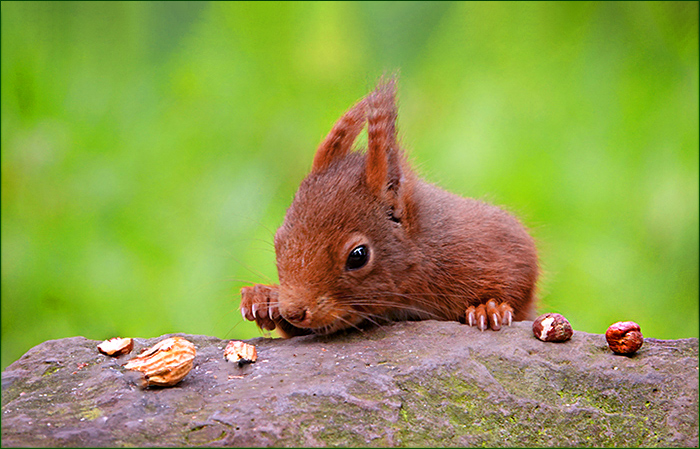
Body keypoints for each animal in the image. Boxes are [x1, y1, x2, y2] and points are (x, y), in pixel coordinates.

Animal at [240, 77, 539, 337]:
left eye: (358, 256)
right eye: (278, 241)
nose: (294, 312)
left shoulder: (492, 243)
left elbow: (522, 277)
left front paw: (488, 308)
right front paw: (263, 297)